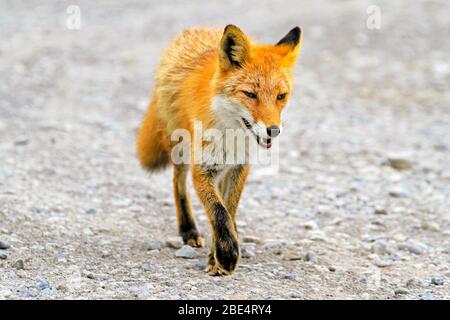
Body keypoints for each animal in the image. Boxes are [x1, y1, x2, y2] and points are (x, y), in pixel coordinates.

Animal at [136, 25, 302, 276]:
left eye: (280, 96)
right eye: (250, 94)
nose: (273, 130)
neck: (230, 135)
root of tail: (196, 28)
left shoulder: (239, 167)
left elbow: (228, 209)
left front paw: (218, 254)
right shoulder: (202, 169)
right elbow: (218, 212)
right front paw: (225, 255)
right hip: (181, 149)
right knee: (178, 183)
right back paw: (188, 230)